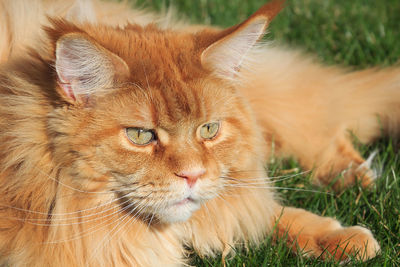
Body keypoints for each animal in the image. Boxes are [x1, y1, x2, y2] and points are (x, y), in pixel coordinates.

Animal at [0, 0, 396, 266]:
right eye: (140, 136)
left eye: (209, 129)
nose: (193, 175)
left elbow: (262, 210)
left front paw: (340, 239)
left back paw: (355, 178)